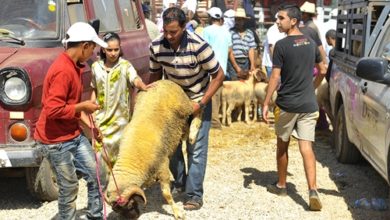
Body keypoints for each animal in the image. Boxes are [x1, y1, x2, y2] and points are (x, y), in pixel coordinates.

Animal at [105, 80, 193, 219]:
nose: (132, 218)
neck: (132, 158)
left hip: (186, 108)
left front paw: (177, 212)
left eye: (129, 205)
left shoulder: (163, 166)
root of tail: (163, 81)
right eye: (116, 210)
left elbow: (167, 194)